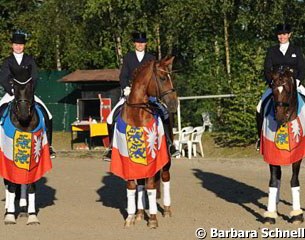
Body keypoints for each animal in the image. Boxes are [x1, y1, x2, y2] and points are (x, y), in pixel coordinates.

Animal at [1, 64, 52, 224]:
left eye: (31, 85)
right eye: (14, 85)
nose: (23, 113)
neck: (24, 124)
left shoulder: (36, 158)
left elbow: (30, 185)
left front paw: (32, 215)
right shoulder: (9, 156)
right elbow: (11, 185)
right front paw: (10, 215)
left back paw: (23, 209)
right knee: (7, 182)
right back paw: (7, 209)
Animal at [110, 55, 177, 229]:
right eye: (162, 78)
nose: (174, 104)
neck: (137, 113)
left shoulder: (153, 159)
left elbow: (151, 187)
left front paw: (152, 219)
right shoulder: (125, 158)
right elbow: (132, 187)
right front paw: (130, 217)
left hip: (166, 161)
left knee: (165, 178)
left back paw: (167, 210)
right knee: (140, 184)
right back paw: (140, 213)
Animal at [260, 67, 302, 225]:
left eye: (288, 90)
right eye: (273, 91)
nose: (279, 116)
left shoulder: (298, 154)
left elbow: (294, 180)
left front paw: (297, 214)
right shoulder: (271, 153)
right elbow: (273, 181)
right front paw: (270, 214)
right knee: (277, 176)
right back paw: (275, 205)